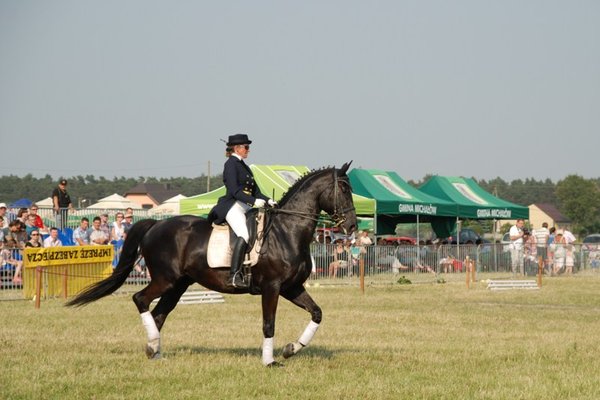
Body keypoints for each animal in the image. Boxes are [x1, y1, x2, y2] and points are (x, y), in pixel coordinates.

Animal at [65, 162, 356, 366]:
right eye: (343, 189)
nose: (352, 226)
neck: (287, 230)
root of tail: (156, 224)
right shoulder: (272, 287)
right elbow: (268, 323)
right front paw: (270, 361)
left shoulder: (292, 288)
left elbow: (317, 313)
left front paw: (290, 349)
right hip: (165, 279)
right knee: (141, 299)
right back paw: (152, 347)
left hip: (178, 285)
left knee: (159, 313)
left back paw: (154, 350)